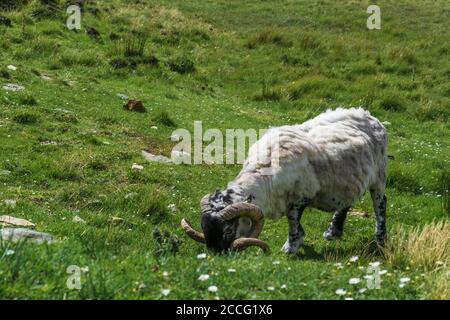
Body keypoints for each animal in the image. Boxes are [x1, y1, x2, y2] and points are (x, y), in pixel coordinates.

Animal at [181, 109, 388, 254]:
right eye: (204, 228)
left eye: (228, 232)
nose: (216, 254)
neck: (264, 177)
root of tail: (371, 117)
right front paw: (300, 240)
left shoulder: (300, 197)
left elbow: (293, 221)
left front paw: (291, 247)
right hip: (348, 180)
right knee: (346, 201)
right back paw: (333, 232)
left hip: (379, 176)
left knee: (381, 204)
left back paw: (381, 239)